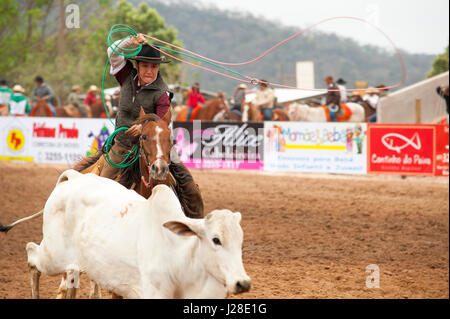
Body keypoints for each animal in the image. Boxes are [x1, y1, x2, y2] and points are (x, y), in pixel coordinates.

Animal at [22, 170, 251, 300]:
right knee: (31, 254)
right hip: (53, 255)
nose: (243, 283)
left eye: (240, 243)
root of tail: (74, 177)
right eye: (216, 240)